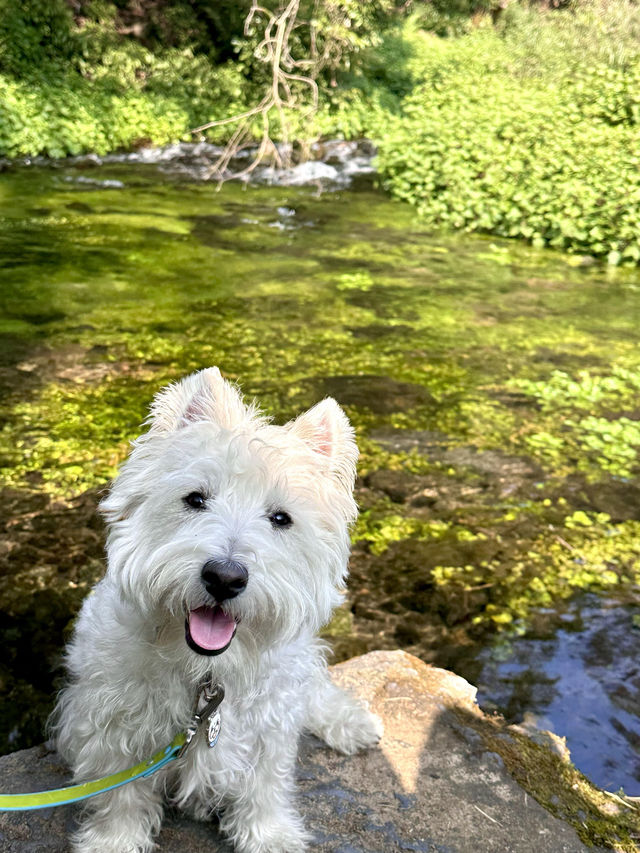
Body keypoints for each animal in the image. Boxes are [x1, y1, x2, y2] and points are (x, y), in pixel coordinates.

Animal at [53, 368, 380, 852]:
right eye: (195, 498)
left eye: (281, 518)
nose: (225, 577)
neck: (207, 674)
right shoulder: (114, 725)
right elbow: (119, 796)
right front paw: (113, 841)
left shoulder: (268, 727)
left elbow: (266, 785)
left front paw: (271, 836)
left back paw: (353, 723)